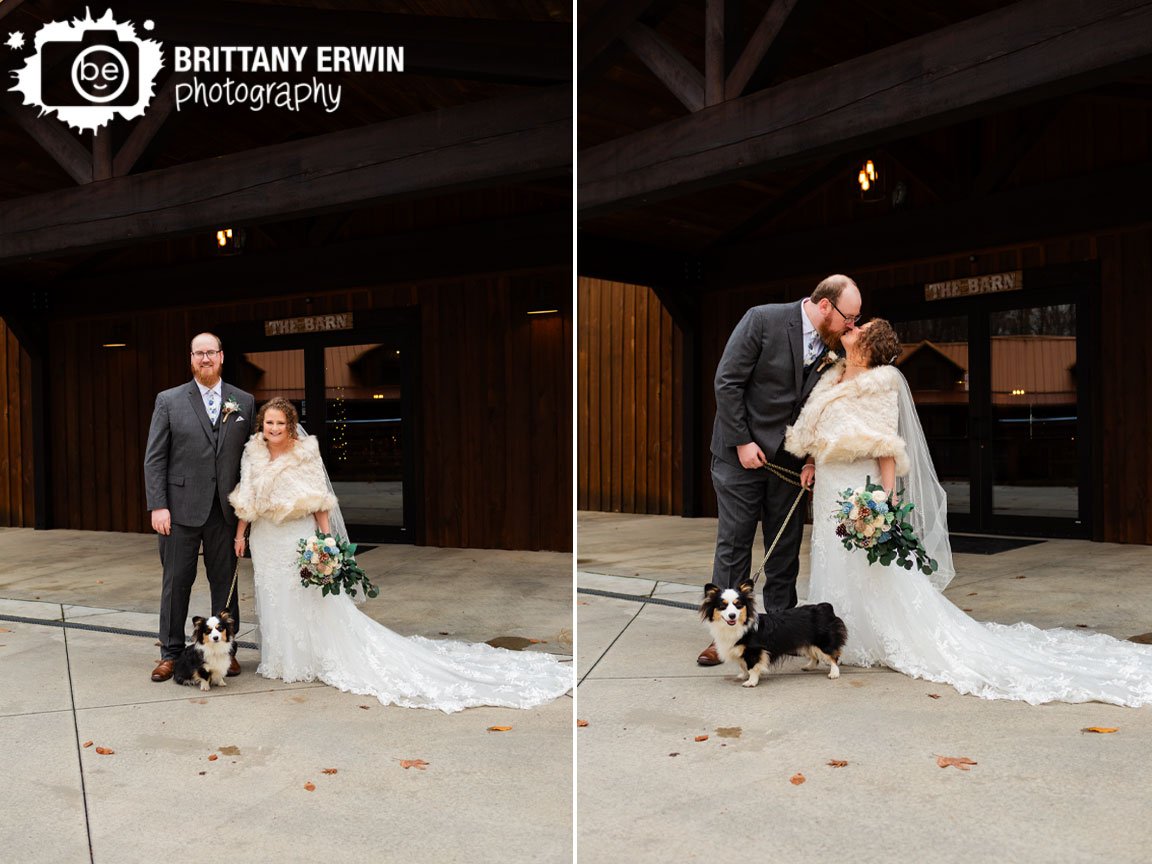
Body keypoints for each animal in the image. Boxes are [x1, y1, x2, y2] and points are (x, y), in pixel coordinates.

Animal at [695, 582, 852, 691]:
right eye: (723, 606)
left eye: (738, 605)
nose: (732, 615)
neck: (736, 626)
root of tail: (825, 607)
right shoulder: (740, 651)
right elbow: (742, 665)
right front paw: (743, 675)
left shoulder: (754, 651)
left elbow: (752, 667)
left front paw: (751, 681)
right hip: (807, 642)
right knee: (814, 655)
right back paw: (809, 666)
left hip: (823, 641)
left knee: (833, 656)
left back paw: (834, 673)